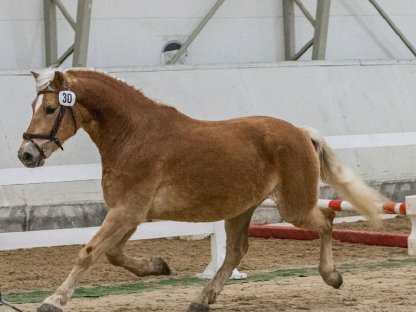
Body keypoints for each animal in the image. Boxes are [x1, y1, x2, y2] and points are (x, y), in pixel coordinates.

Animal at [17, 68, 386, 312]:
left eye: (50, 109)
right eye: (33, 107)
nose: (26, 154)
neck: (132, 135)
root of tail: (300, 132)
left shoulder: (126, 211)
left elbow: (90, 252)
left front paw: (53, 300)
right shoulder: (130, 214)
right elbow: (113, 253)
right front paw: (158, 266)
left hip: (293, 207)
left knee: (326, 220)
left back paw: (332, 276)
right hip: (241, 209)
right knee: (236, 251)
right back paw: (202, 299)